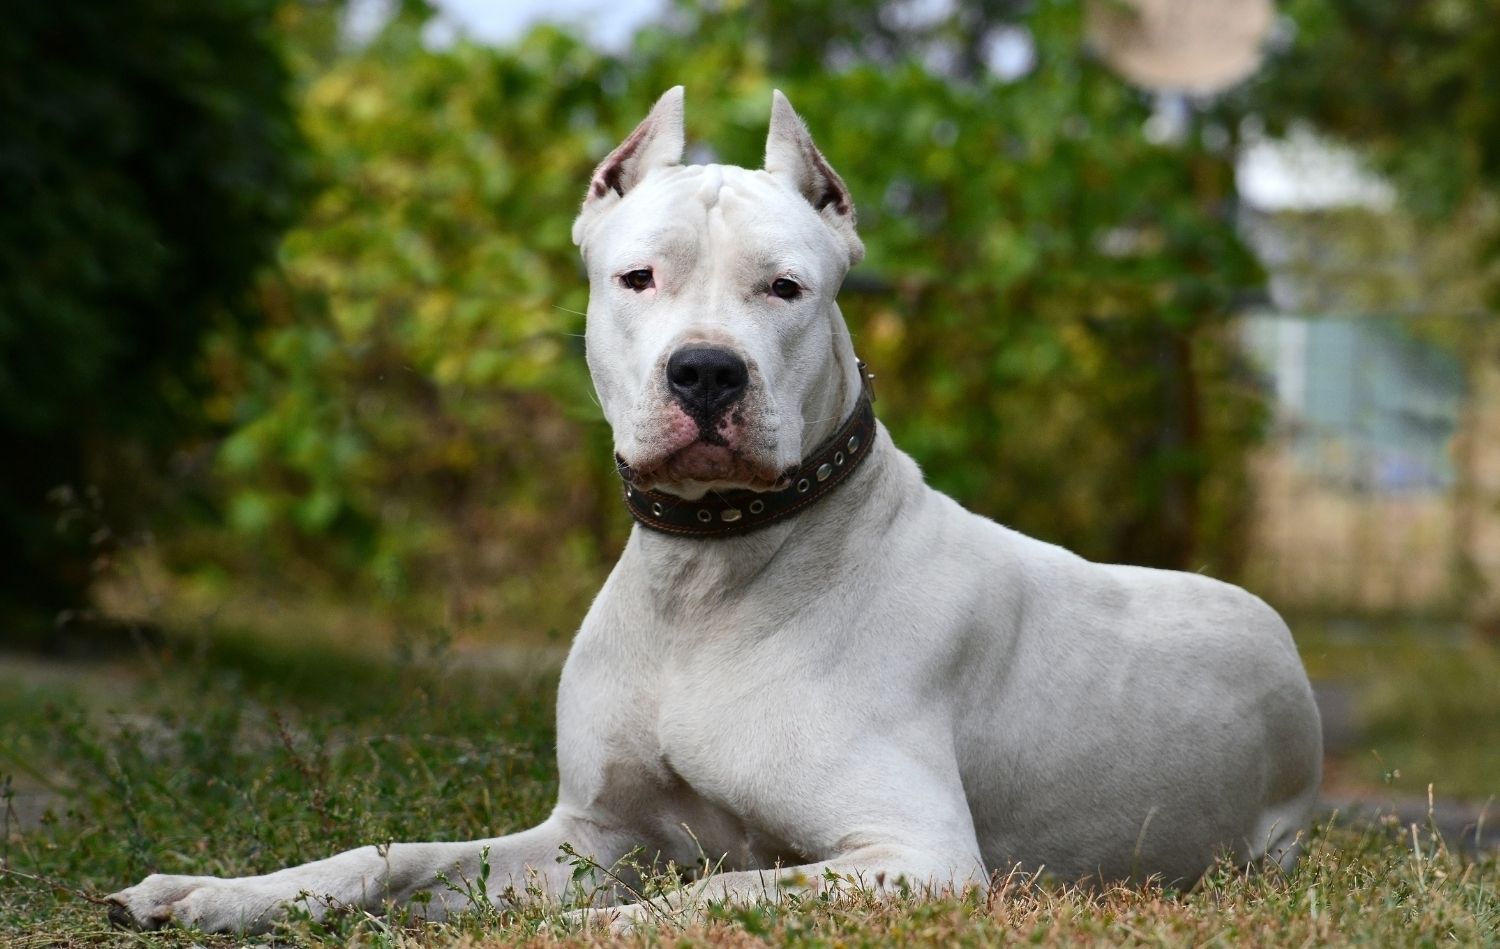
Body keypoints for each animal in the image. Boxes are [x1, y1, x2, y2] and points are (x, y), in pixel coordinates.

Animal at [111, 88, 1320, 935]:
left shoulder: (914, 854)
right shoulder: (587, 832)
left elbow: (695, 899)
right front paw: (221, 890)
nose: (704, 372)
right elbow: (394, 853)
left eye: (786, 288)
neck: (710, 575)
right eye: (637, 277)